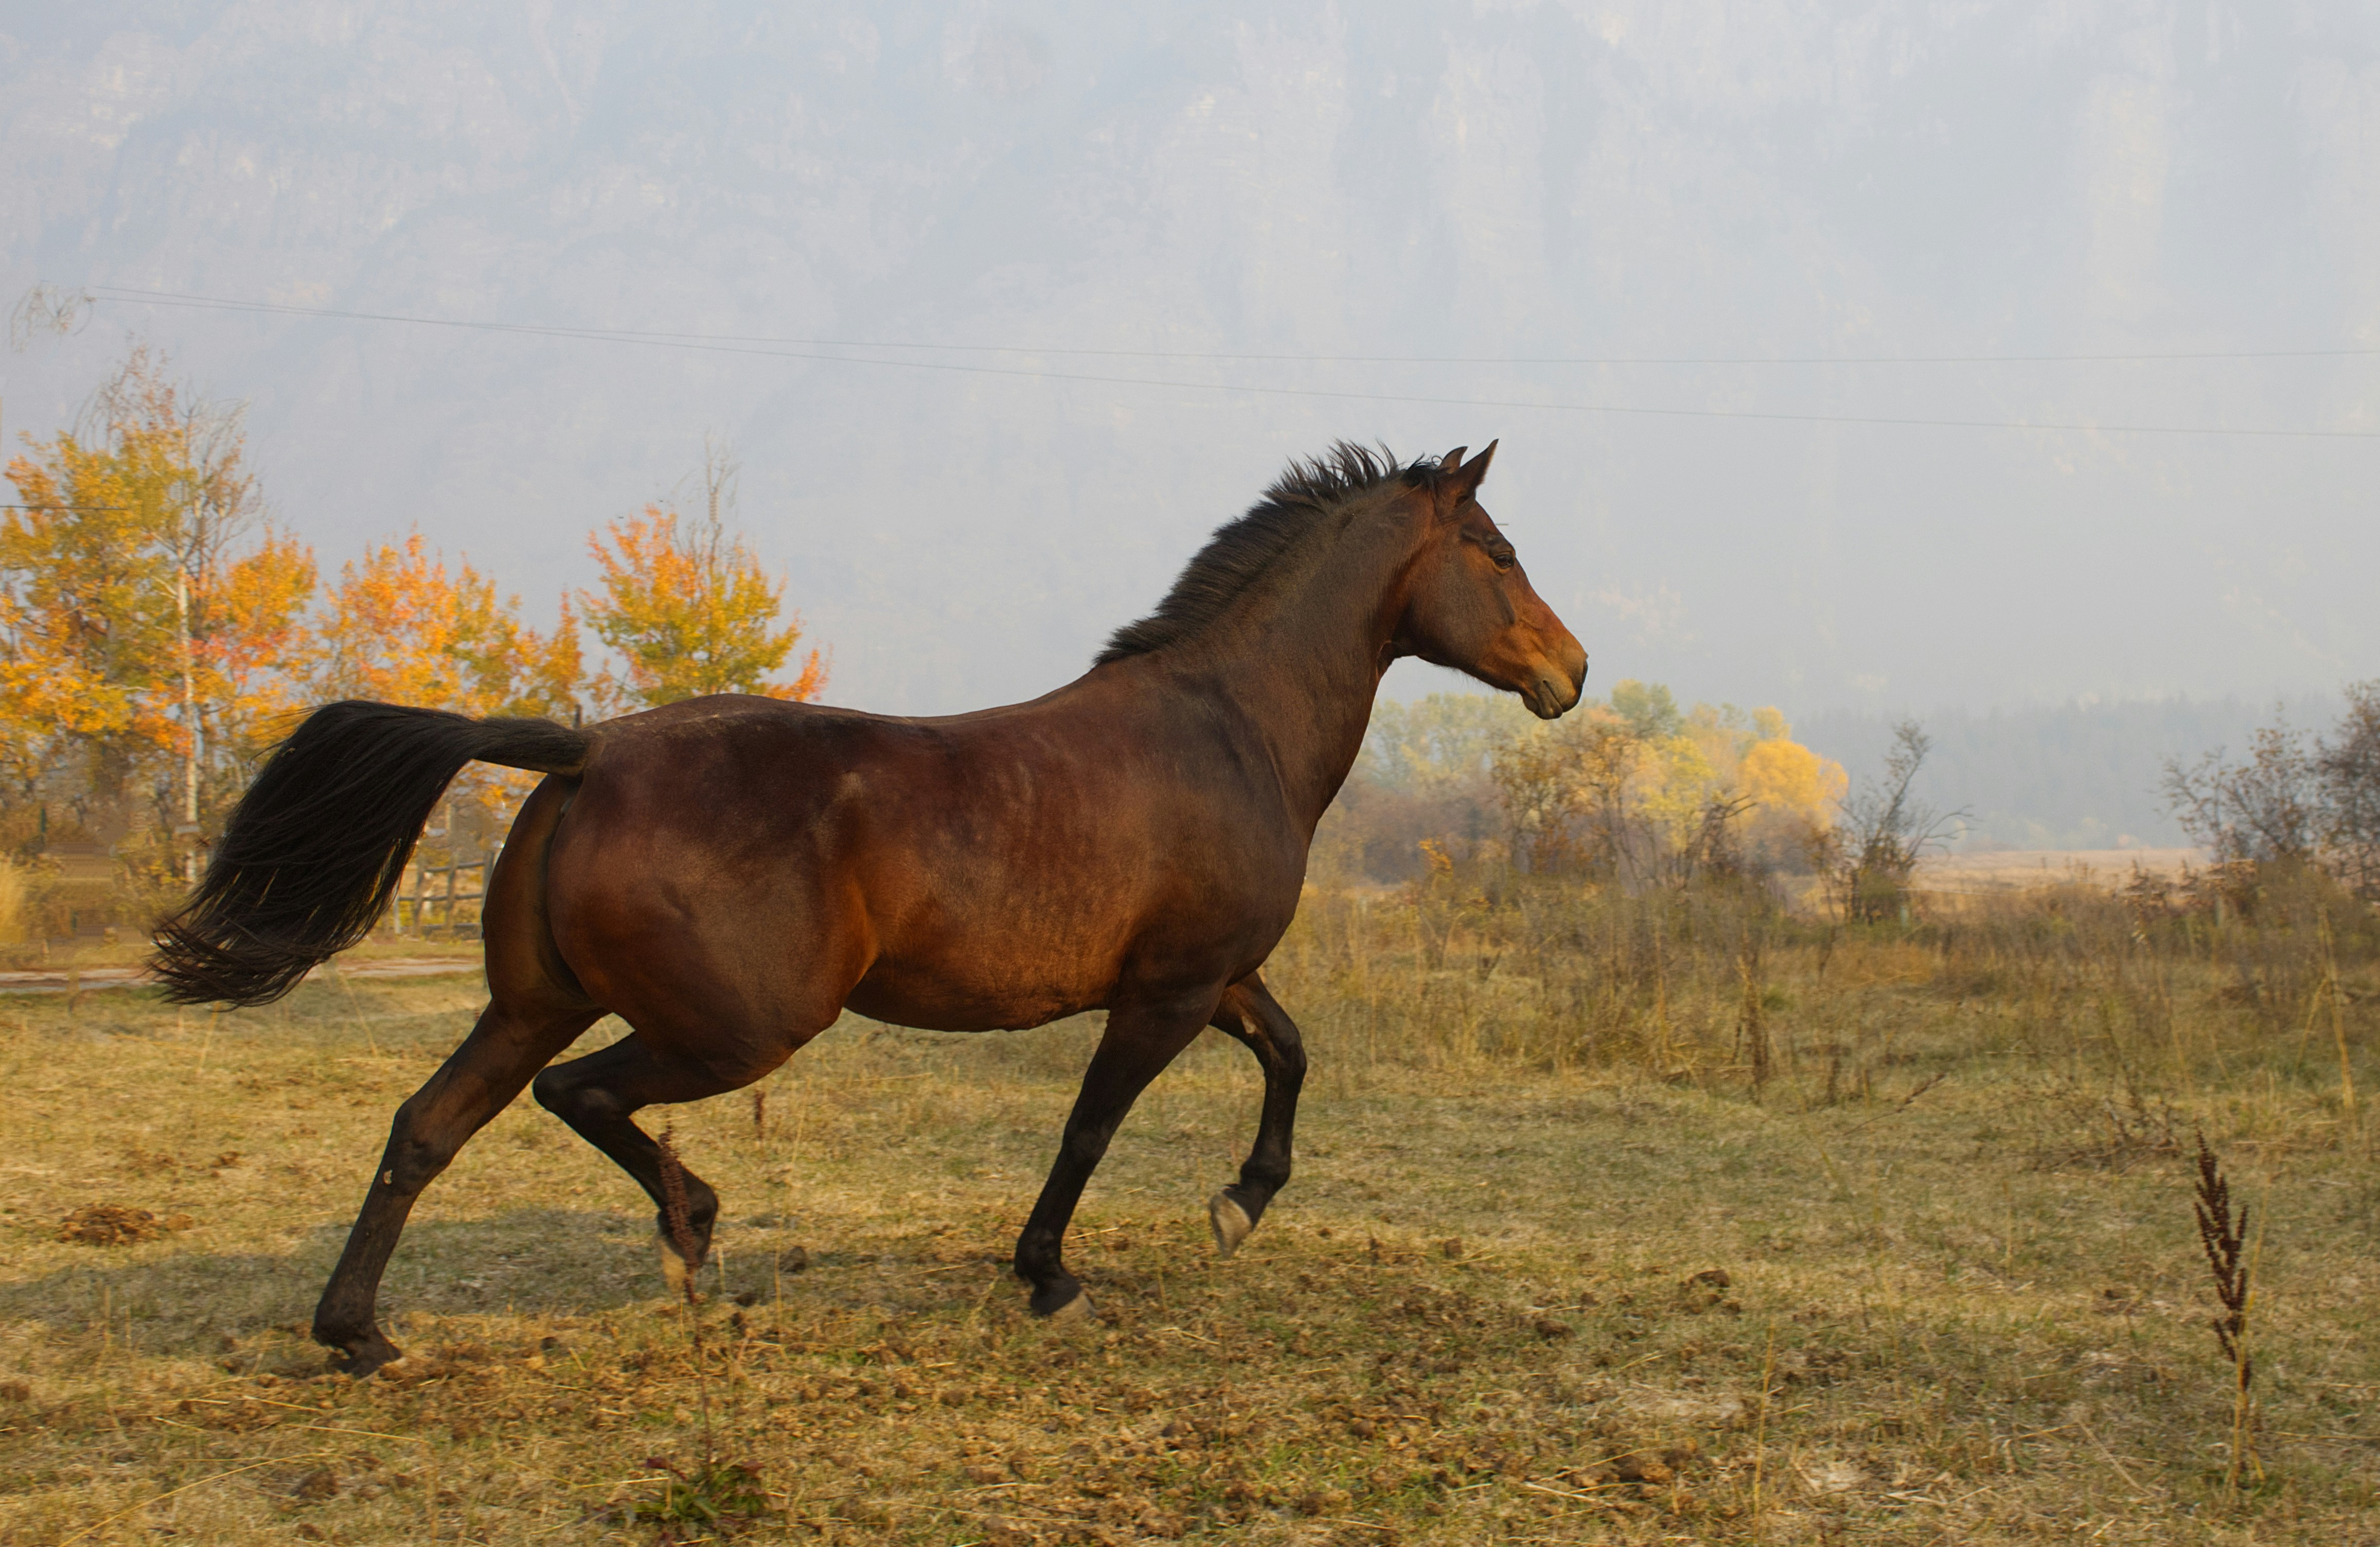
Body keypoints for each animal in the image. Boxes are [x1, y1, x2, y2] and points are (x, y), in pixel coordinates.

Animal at [153, 440, 1587, 1375]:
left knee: (427, 1127)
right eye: (1499, 552)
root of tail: (587, 754)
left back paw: (364, 1333)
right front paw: (1051, 1275)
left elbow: (1290, 1055)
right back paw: (692, 1242)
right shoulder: (1168, 992)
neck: (1227, 725)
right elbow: (1090, 1126)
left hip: (530, 1005)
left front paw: (1239, 1205)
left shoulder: (1213, 977)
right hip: (736, 1028)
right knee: (583, 1097)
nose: (1570, 672)